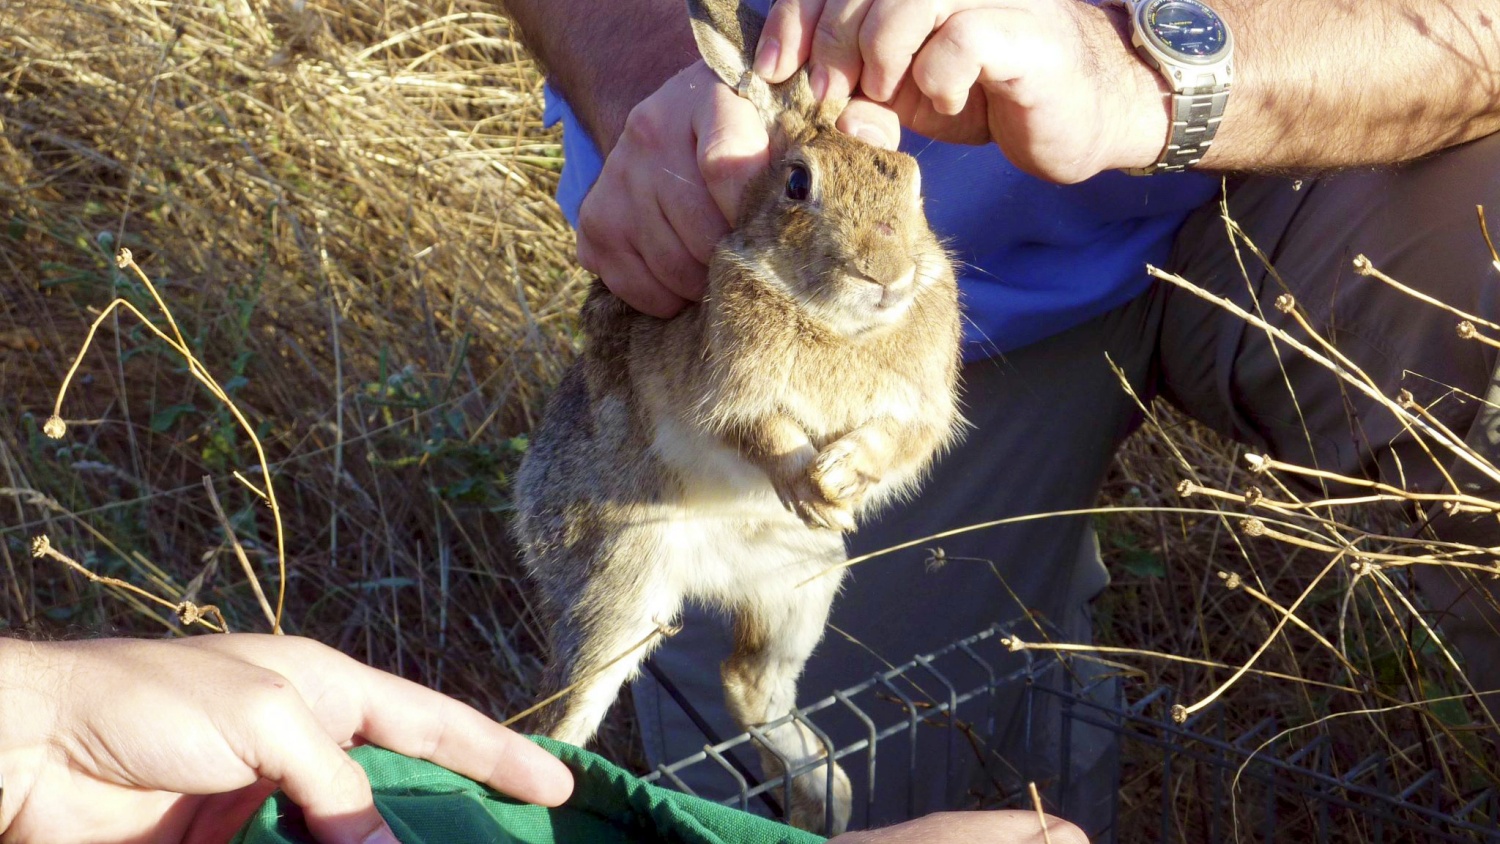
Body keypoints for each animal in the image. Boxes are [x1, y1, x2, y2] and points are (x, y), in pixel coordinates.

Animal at [513, 0, 960, 833]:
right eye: (797, 183)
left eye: (914, 188)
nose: (885, 275)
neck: (839, 325)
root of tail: (709, 576)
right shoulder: (726, 393)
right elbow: (760, 432)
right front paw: (810, 482)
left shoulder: (918, 410)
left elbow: (891, 445)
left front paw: (838, 483)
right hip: (620, 586)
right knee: (565, 708)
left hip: (799, 587)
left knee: (745, 683)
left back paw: (827, 797)